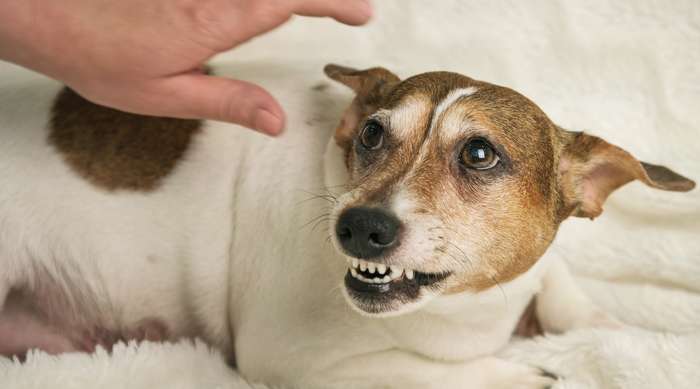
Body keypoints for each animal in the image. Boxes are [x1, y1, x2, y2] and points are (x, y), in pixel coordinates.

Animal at [0, 62, 692, 386]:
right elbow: (422, 373)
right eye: (373, 133)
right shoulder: (294, 361)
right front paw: (519, 374)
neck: (462, 311)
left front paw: (615, 328)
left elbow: (568, 293)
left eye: (479, 153)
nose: (360, 227)